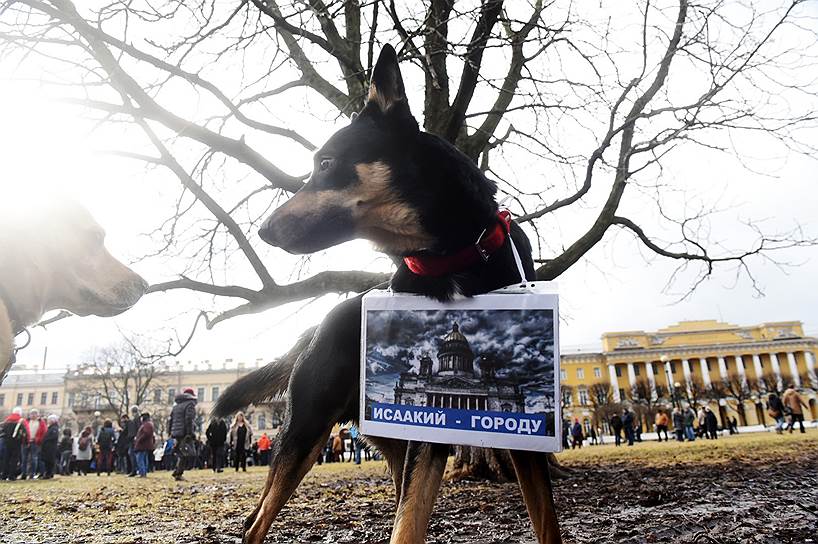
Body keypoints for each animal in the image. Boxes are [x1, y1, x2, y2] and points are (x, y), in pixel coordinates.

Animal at [214, 46, 560, 544]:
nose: (263, 231)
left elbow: (545, 522)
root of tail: (315, 327)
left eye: (326, 163)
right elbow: (408, 522)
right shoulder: (426, 433)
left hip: (385, 438)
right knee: (255, 523)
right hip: (303, 434)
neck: (449, 260)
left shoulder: (520, 439)